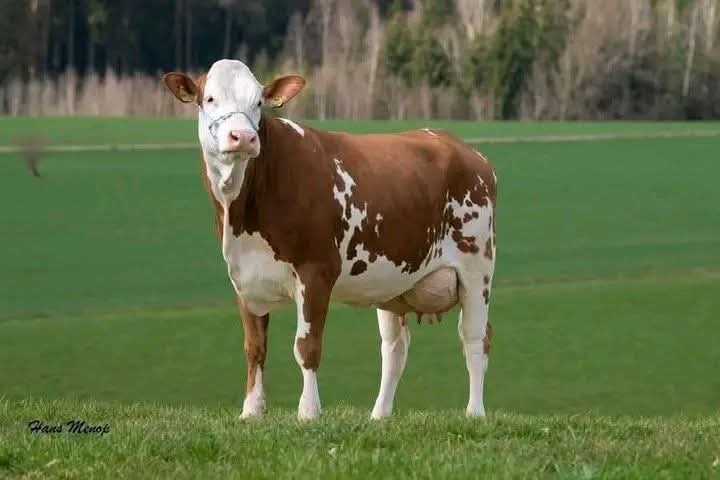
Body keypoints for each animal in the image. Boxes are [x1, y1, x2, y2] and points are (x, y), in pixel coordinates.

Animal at [162, 59, 497, 420]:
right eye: (209, 98)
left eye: (259, 102)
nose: (244, 137)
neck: (243, 214)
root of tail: (463, 148)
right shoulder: (243, 279)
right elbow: (254, 348)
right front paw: (251, 411)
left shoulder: (316, 271)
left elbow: (307, 347)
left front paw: (309, 412)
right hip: (395, 280)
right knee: (395, 348)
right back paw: (379, 416)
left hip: (477, 269)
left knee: (475, 338)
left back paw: (475, 413)